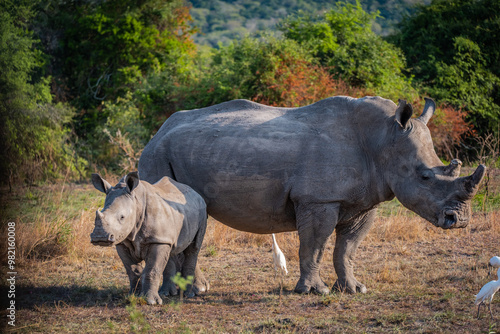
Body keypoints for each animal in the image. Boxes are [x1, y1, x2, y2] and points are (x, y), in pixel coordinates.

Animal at [91, 171, 206, 304]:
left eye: (122, 217)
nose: (99, 237)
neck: (136, 202)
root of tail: (195, 192)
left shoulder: (156, 240)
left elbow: (153, 269)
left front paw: (150, 301)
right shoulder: (122, 242)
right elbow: (132, 270)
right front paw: (133, 295)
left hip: (201, 209)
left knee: (193, 249)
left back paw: (188, 295)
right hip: (174, 218)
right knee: (170, 249)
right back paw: (166, 293)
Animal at [137, 96, 484, 294]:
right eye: (424, 176)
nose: (460, 220)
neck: (384, 138)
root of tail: (156, 132)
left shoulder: (364, 201)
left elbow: (347, 249)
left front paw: (354, 289)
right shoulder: (319, 200)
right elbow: (314, 246)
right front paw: (315, 292)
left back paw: (196, 290)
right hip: (158, 157)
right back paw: (182, 293)